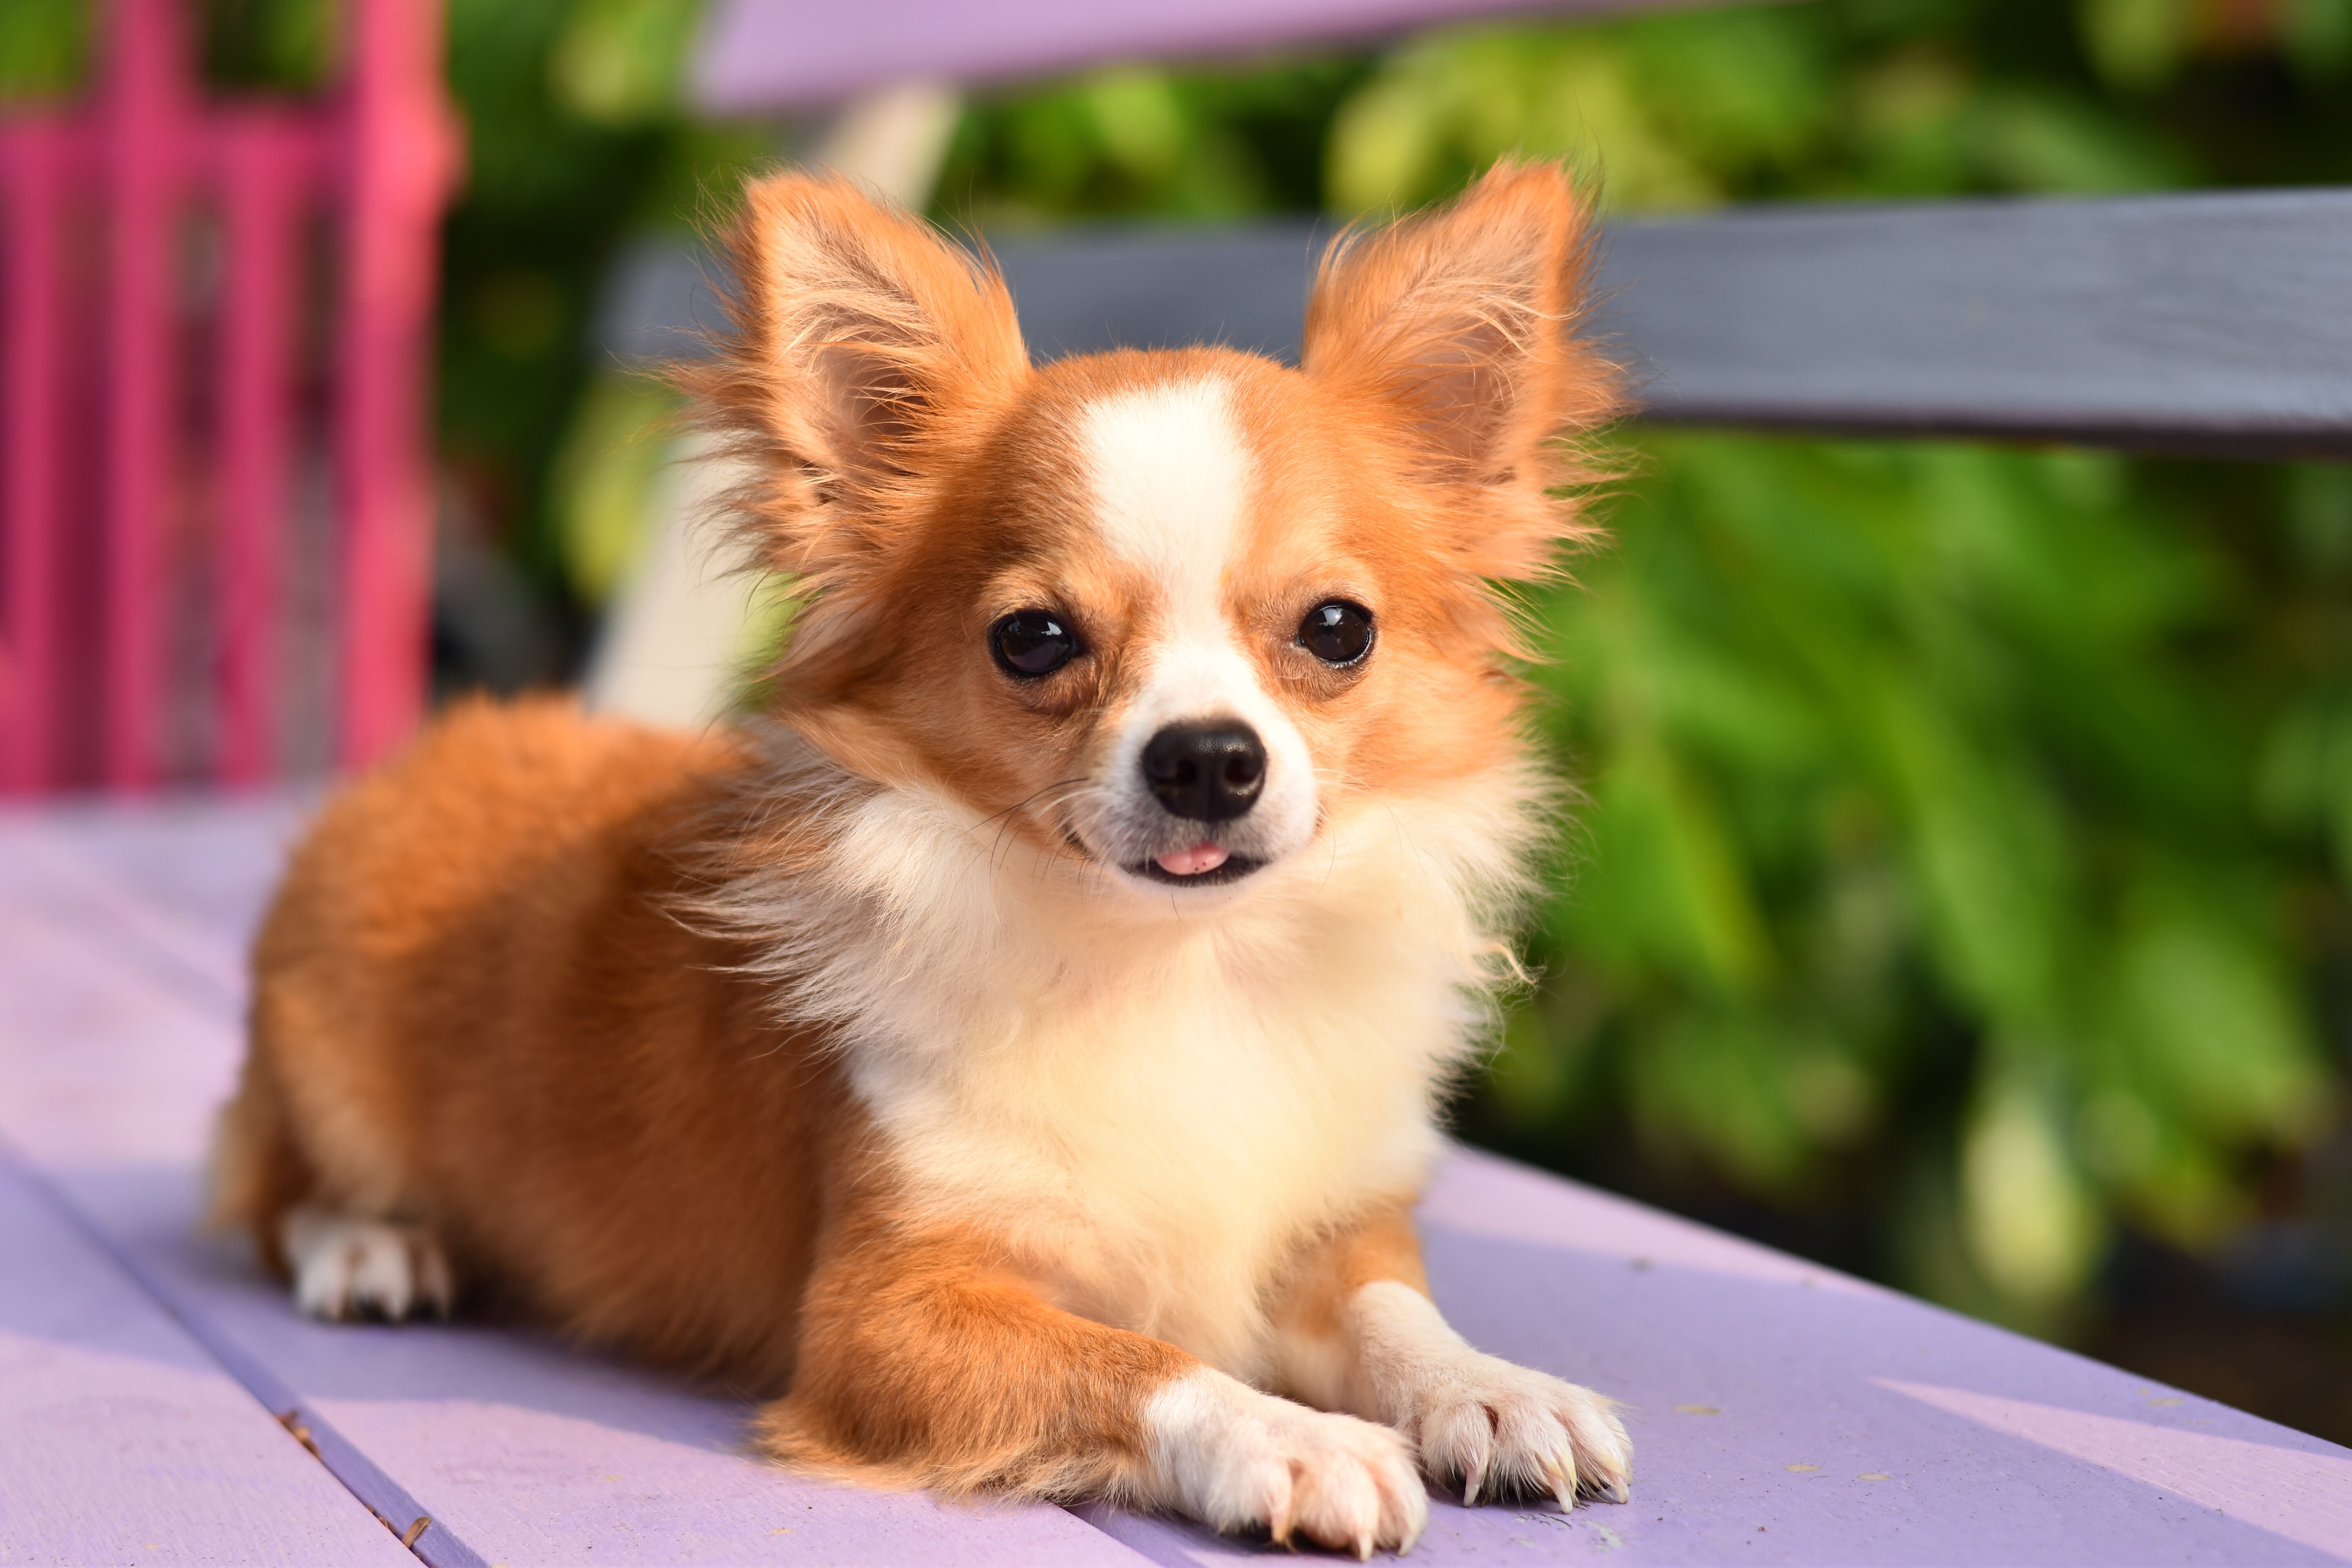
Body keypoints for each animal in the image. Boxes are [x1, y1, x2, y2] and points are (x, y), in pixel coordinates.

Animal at [216, 160, 1637, 1561]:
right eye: (1035, 640)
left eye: (1338, 630)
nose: (1208, 758)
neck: (1178, 970)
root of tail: (427, 755)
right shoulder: (884, 1315)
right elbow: (1141, 1361)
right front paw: (1296, 1440)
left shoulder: (1335, 1224)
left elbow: (1395, 1310)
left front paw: (1490, 1388)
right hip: (331, 1083)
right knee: (273, 1186)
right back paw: (374, 1251)